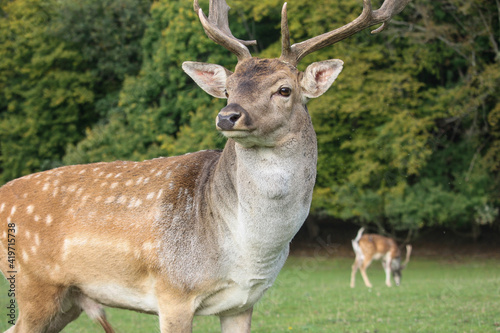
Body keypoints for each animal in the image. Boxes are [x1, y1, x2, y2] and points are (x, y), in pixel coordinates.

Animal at [0, 0, 412, 330]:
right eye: (228, 89)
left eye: (285, 89)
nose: (227, 115)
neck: (246, 248)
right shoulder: (173, 292)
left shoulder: (243, 303)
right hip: (34, 285)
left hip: (67, 300)